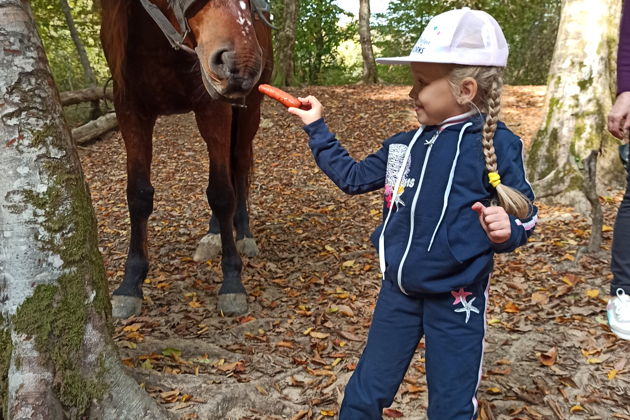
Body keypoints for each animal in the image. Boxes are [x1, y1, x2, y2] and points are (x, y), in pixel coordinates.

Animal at [101, 0, 274, 316]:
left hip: (249, 110)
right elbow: (138, 196)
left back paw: (243, 234)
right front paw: (130, 283)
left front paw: (232, 281)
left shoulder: (213, 107)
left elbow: (221, 194)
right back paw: (214, 233)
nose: (241, 62)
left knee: (239, 166)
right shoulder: (130, 111)